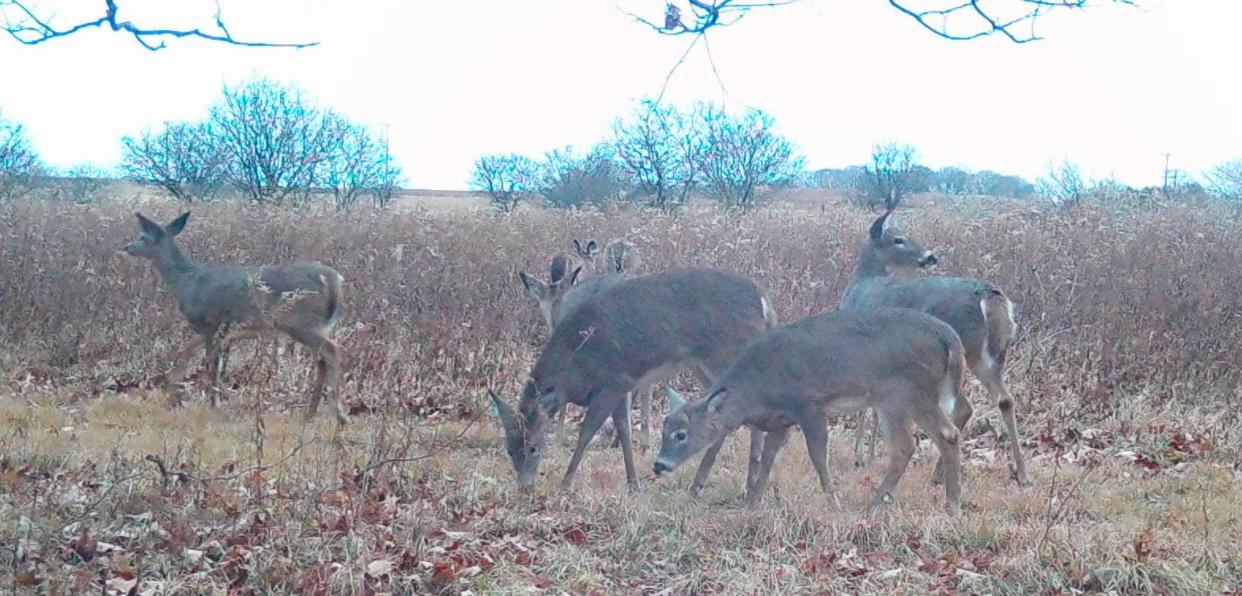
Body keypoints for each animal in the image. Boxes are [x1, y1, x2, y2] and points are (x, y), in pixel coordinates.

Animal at [121, 209, 347, 424]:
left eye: (143, 237)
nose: (126, 247)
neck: (185, 282)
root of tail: (335, 280)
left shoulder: (209, 321)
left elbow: (211, 363)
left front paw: (213, 403)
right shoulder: (214, 328)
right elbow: (186, 353)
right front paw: (174, 395)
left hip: (299, 322)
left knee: (332, 350)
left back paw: (339, 414)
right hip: (319, 324)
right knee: (322, 360)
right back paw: (310, 412)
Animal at [491, 270, 775, 494]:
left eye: (535, 447)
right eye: (509, 449)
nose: (525, 487)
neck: (575, 362)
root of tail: (764, 302)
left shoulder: (612, 382)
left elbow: (586, 433)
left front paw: (565, 484)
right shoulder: (622, 386)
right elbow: (624, 430)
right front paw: (633, 483)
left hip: (726, 355)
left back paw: (732, 484)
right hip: (703, 366)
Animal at [655, 305, 963, 514]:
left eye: (681, 434)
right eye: (664, 430)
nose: (659, 465)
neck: (759, 388)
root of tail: (950, 337)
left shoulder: (809, 405)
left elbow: (817, 455)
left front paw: (832, 500)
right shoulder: (782, 419)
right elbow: (768, 457)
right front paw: (753, 501)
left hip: (900, 395)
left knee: (905, 446)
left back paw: (875, 504)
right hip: (913, 398)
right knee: (948, 435)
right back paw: (951, 504)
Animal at [844, 209, 1028, 484]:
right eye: (899, 239)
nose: (931, 255)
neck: (860, 284)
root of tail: (989, 295)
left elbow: (868, 407)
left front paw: (861, 457)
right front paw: (868, 457)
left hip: (950, 356)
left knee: (963, 406)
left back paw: (938, 474)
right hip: (989, 355)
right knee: (1004, 399)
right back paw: (1021, 475)